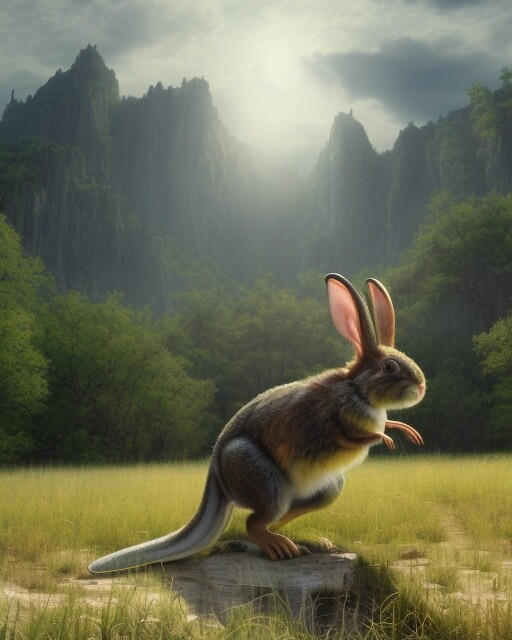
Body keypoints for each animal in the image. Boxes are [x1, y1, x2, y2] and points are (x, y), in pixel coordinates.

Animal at [88, 274, 425, 572]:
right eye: (390, 367)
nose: (421, 386)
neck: (358, 387)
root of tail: (217, 477)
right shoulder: (337, 418)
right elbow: (355, 436)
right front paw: (387, 438)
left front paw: (404, 431)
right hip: (263, 477)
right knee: (253, 522)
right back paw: (281, 549)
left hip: (327, 488)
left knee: (277, 518)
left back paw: (306, 541)